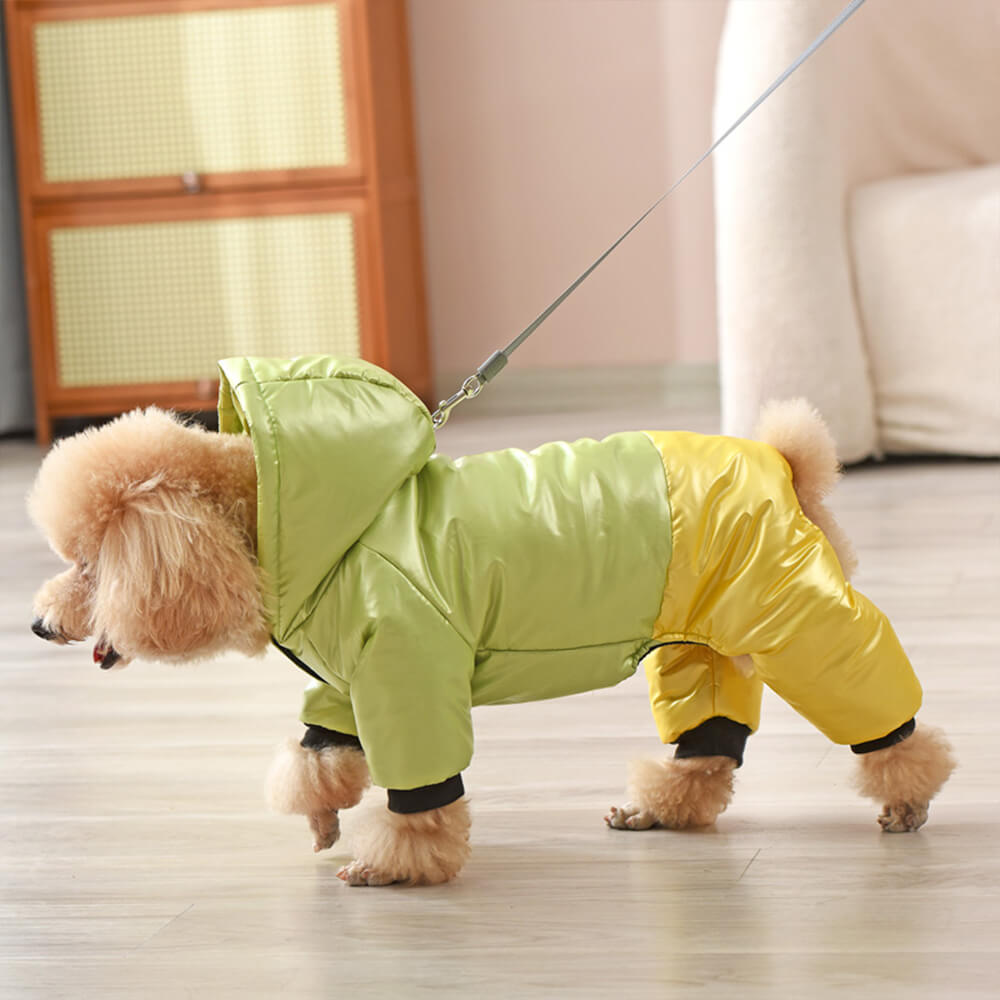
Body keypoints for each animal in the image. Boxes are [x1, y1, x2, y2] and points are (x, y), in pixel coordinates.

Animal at [29, 356, 952, 888]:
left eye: (89, 564)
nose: (37, 626)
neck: (288, 529)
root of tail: (781, 463)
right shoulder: (346, 680)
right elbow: (323, 755)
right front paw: (324, 818)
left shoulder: (406, 665)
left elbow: (421, 789)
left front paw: (397, 864)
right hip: (703, 637)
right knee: (711, 741)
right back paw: (662, 810)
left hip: (789, 618)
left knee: (878, 710)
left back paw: (907, 796)